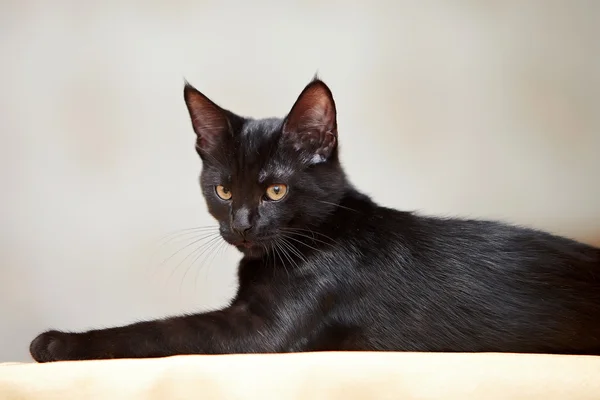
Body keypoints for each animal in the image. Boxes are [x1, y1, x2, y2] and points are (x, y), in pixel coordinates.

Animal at [29, 76, 600, 360]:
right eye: (223, 189)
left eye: (276, 190)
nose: (241, 224)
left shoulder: (260, 332)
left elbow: (158, 333)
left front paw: (58, 342)